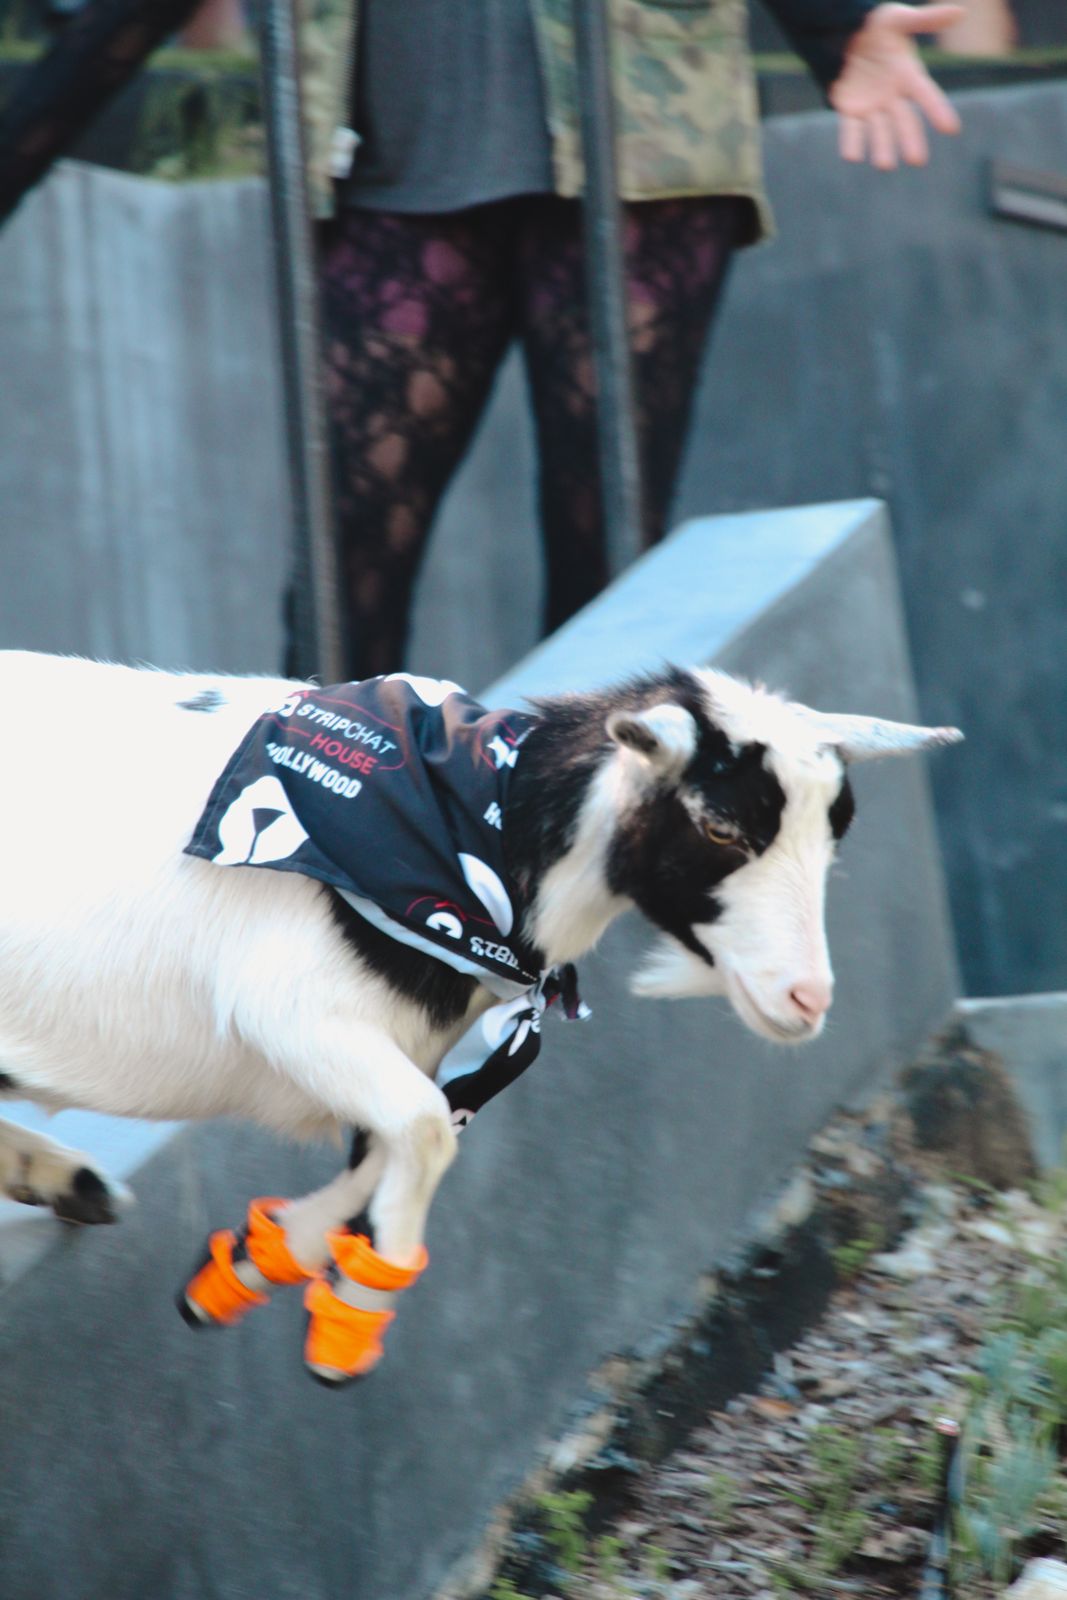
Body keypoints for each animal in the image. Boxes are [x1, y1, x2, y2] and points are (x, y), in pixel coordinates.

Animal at [0, 650, 959, 1382]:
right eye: (721, 828)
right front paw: (351, 1319)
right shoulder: (291, 1013)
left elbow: (395, 1142)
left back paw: (69, 1183)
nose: (808, 998)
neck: (478, 835)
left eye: (834, 831)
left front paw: (250, 1265)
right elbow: (426, 1132)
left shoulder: (388, 1047)